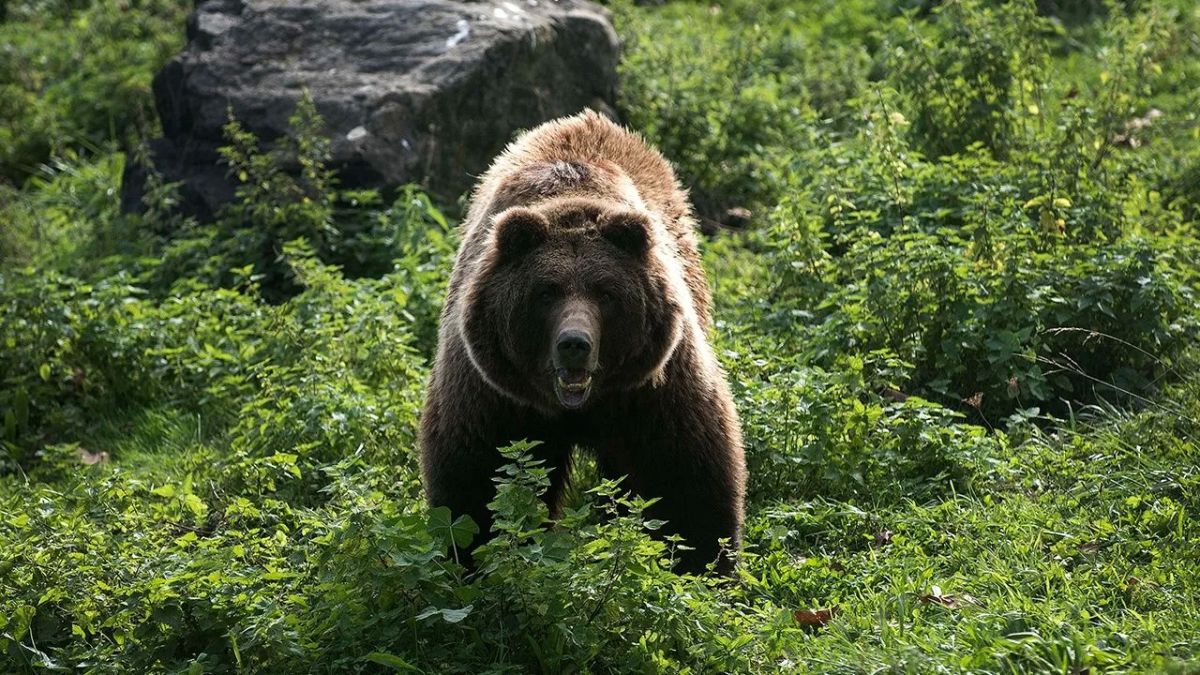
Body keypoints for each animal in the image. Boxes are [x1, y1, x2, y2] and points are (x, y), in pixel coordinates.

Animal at [419, 110, 746, 575]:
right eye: (546, 292)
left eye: (606, 293)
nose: (574, 343)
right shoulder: (493, 394)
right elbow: (479, 482)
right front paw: (471, 561)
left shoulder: (653, 388)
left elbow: (684, 475)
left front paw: (703, 564)